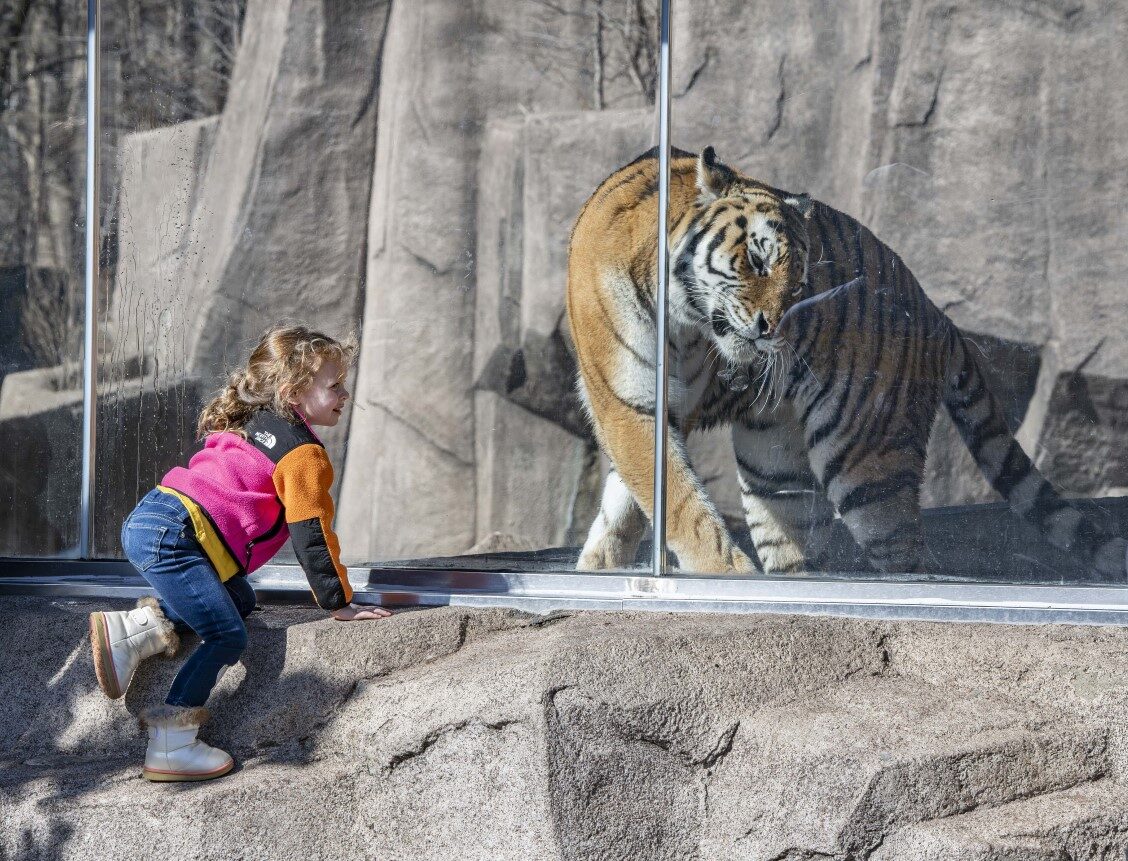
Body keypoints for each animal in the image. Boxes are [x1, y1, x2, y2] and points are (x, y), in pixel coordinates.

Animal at [565, 145, 1127, 579]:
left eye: (799, 281)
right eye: (758, 260)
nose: (778, 328)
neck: (685, 322)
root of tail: (936, 313)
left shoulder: (638, 410)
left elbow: (676, 504)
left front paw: (721, 576)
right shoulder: (633, 404)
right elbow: (648, 499)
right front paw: (602, 567)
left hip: (867, 463)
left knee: (908, 556)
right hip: (773, 460)